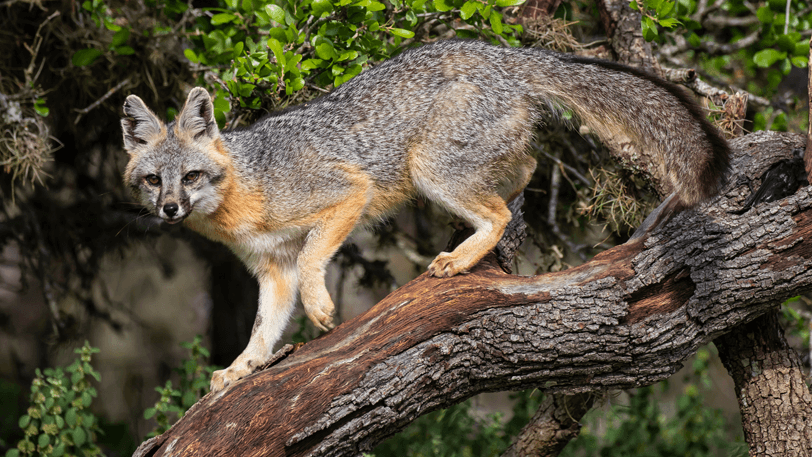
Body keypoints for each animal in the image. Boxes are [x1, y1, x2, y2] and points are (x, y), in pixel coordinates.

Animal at [119, 39, 728, 390]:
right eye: (153, 181)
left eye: (190, 177)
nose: (170, 209)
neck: (246, 189)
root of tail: (505, 51)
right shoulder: (273, 270)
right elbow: (263, 330)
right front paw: (244, 369)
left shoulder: (346, 192)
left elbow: (315, 257)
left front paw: (322, 309)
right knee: (527, 166)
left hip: (429, 170)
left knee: (498, 210)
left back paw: (461, 259)